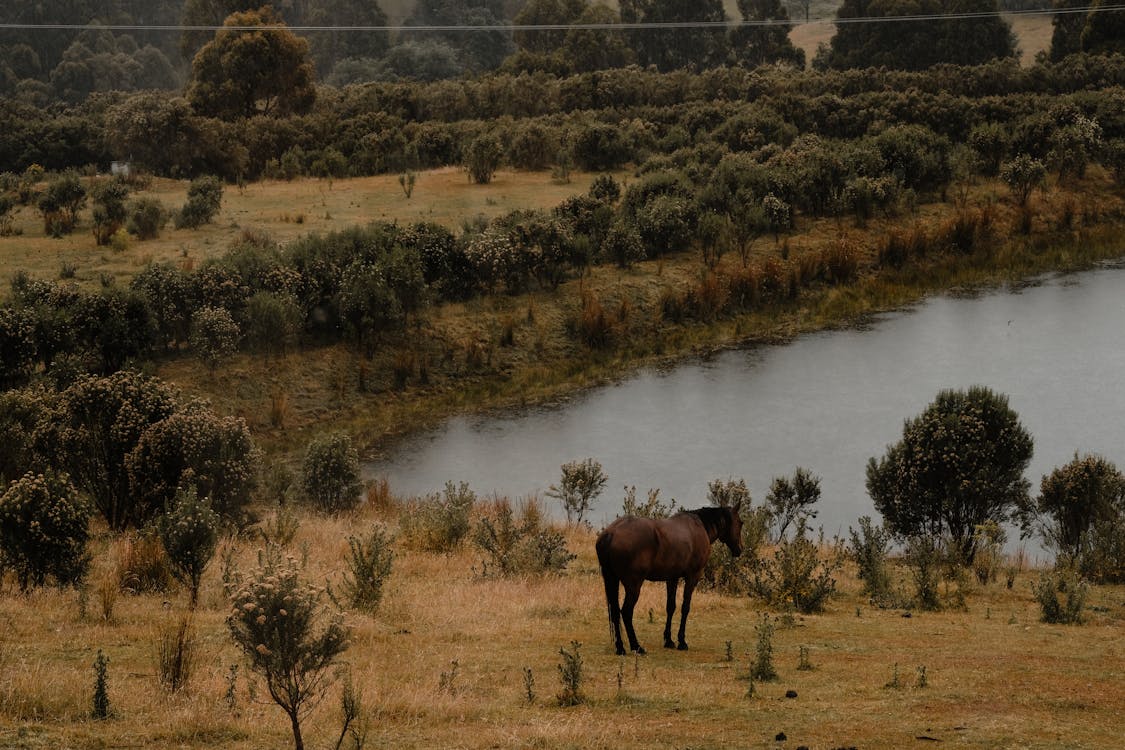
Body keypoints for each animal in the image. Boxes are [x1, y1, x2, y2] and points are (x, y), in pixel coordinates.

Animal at [594, 503, 742, 656]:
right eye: (741, 523)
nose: (740, 549)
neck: (700, 526)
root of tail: (611, 533)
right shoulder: (692, 577)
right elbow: (685, 607)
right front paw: (682, 642)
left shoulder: (672, 578)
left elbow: (670, 607)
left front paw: (669, 640)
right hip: (633, 587)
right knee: (626, 612)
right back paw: (636, 646)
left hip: (612, 580)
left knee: (615, 612)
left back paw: (620, 647)